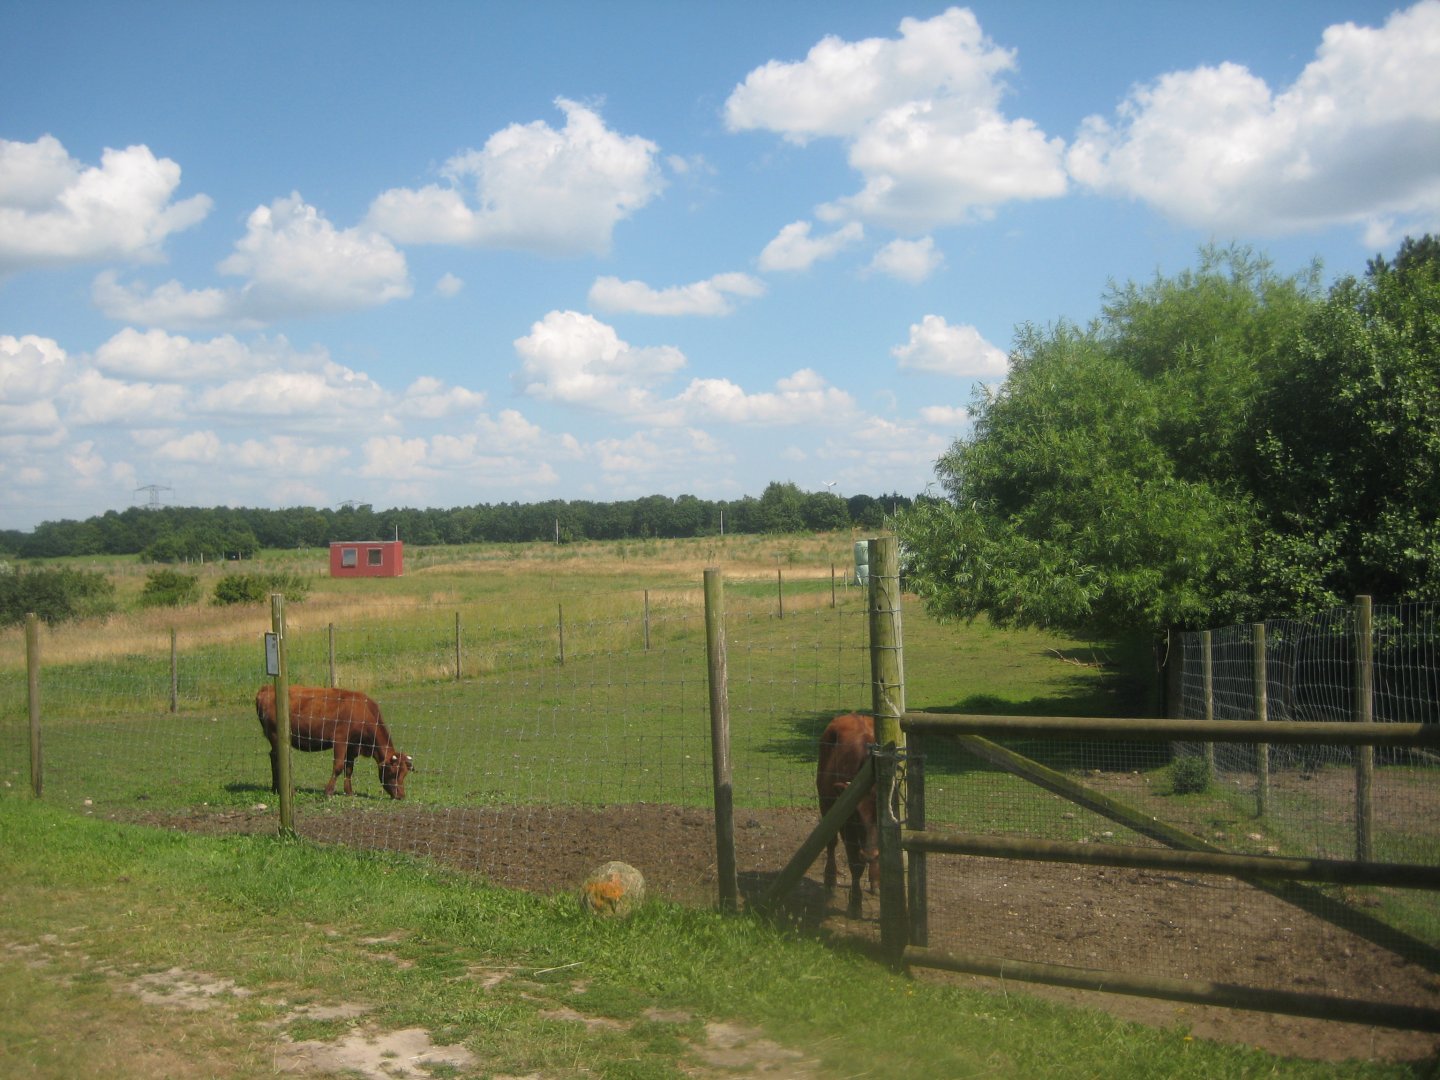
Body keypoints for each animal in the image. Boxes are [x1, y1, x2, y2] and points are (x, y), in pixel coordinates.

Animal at [255, 685, 413, 799]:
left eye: (405, 774)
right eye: (393, 772)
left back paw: (275, 788)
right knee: (279, 760)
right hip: (276, 735)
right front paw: (328, 792)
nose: (401, 795)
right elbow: (338, 766)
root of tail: (267, 688)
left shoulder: (352, 747)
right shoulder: (340, 741)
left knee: (273, 756)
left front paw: (349, 792)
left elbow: (349, 769)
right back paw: (290, 791)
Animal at [817, 712, 879, 918]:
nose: (869, 854)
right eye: (856, 814)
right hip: (826, 804)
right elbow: (855, 864)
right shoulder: (848, 826)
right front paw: (855, 904)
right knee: (830, 843)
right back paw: (830, 880)